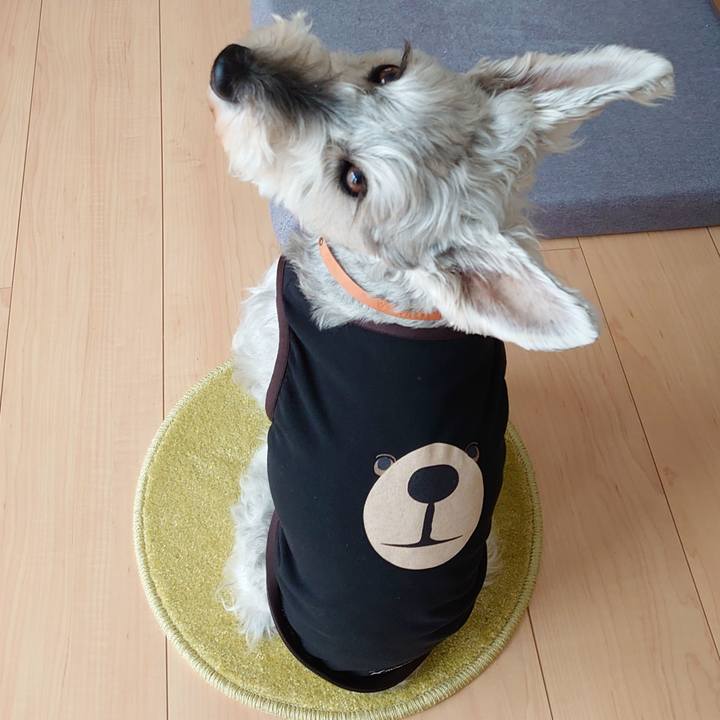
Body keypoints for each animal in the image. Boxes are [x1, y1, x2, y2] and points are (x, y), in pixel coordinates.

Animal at [208, 14, 673, 691]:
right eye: (386, 71)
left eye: (354, 180)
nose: (228, 64)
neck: (396, 300)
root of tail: (376, 667)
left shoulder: (262, 346)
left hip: (263, 514)